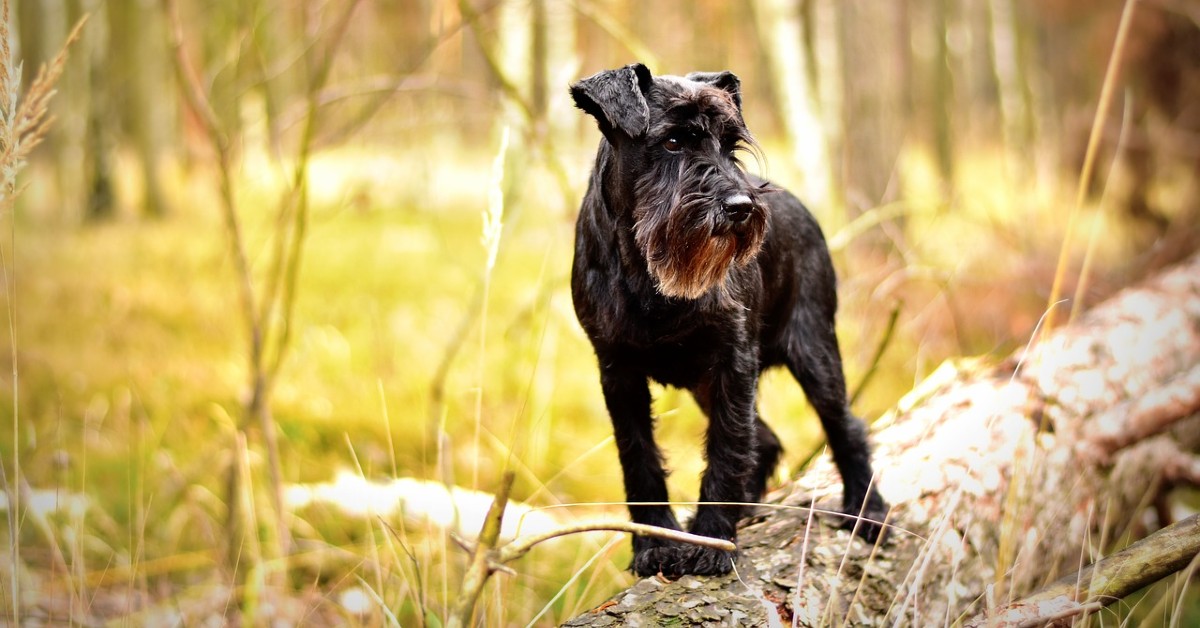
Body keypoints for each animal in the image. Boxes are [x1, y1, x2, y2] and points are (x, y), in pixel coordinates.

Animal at [566, 62, 888, 573]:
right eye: (672, 142)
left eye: (730, 144)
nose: (741, 207)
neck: (647, 275)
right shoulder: (618, 371)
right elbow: (639, 456)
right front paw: (656, 543)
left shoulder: (732, 363)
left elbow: (727, 445)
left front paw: (713, 540)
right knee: (769, 440)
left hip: (815, 353)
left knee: (845, 426)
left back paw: (867, 511)